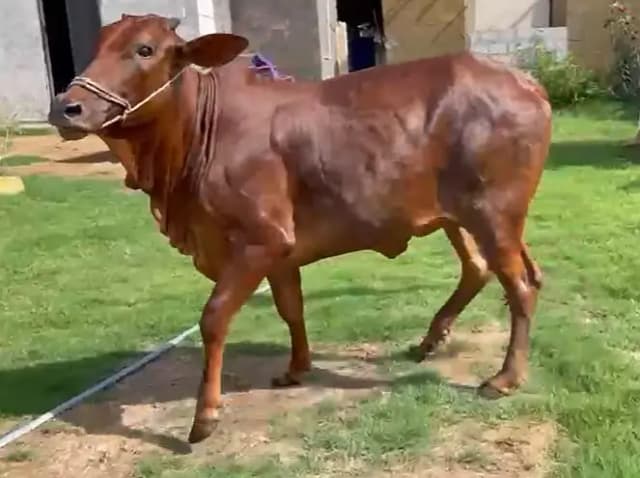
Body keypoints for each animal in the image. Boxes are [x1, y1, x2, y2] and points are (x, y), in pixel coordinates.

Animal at [48, 14, 551, 444]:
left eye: (145, 49)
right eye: (98, 45)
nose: (66, 107)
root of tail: (526, 83)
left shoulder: (260, 239)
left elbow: (214, 318)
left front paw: (205, 416)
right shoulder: (279, 252)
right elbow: (291, 308)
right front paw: (296, 368)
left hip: (493, 214)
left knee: (520, 286)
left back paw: (505, 378)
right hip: (457, 217)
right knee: (481, 269)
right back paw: (429, 341)